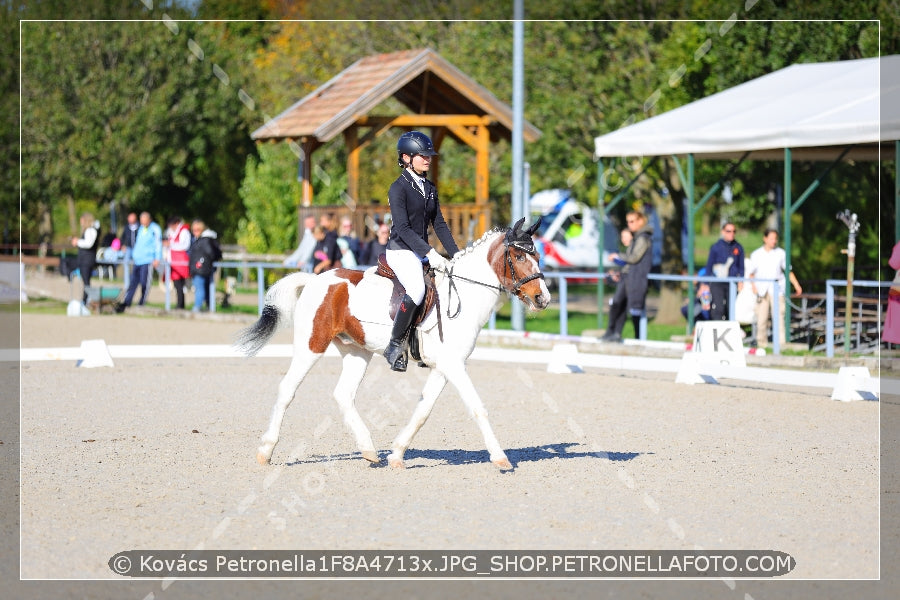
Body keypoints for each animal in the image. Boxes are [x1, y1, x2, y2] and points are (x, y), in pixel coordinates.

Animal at [236, 218, 552, 472]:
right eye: (518, 255)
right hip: (311, 345)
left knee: (343, 395)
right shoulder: (454, 366)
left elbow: (422, 412)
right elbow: (478, 408)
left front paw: (397, 454)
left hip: (357, 351)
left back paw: (369, 450)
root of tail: (315, 279)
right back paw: (265, 451)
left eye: (537, 255)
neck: (464, 295)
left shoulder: (444, 367)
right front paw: (500, 458)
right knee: (287, 389)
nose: (543, 299)